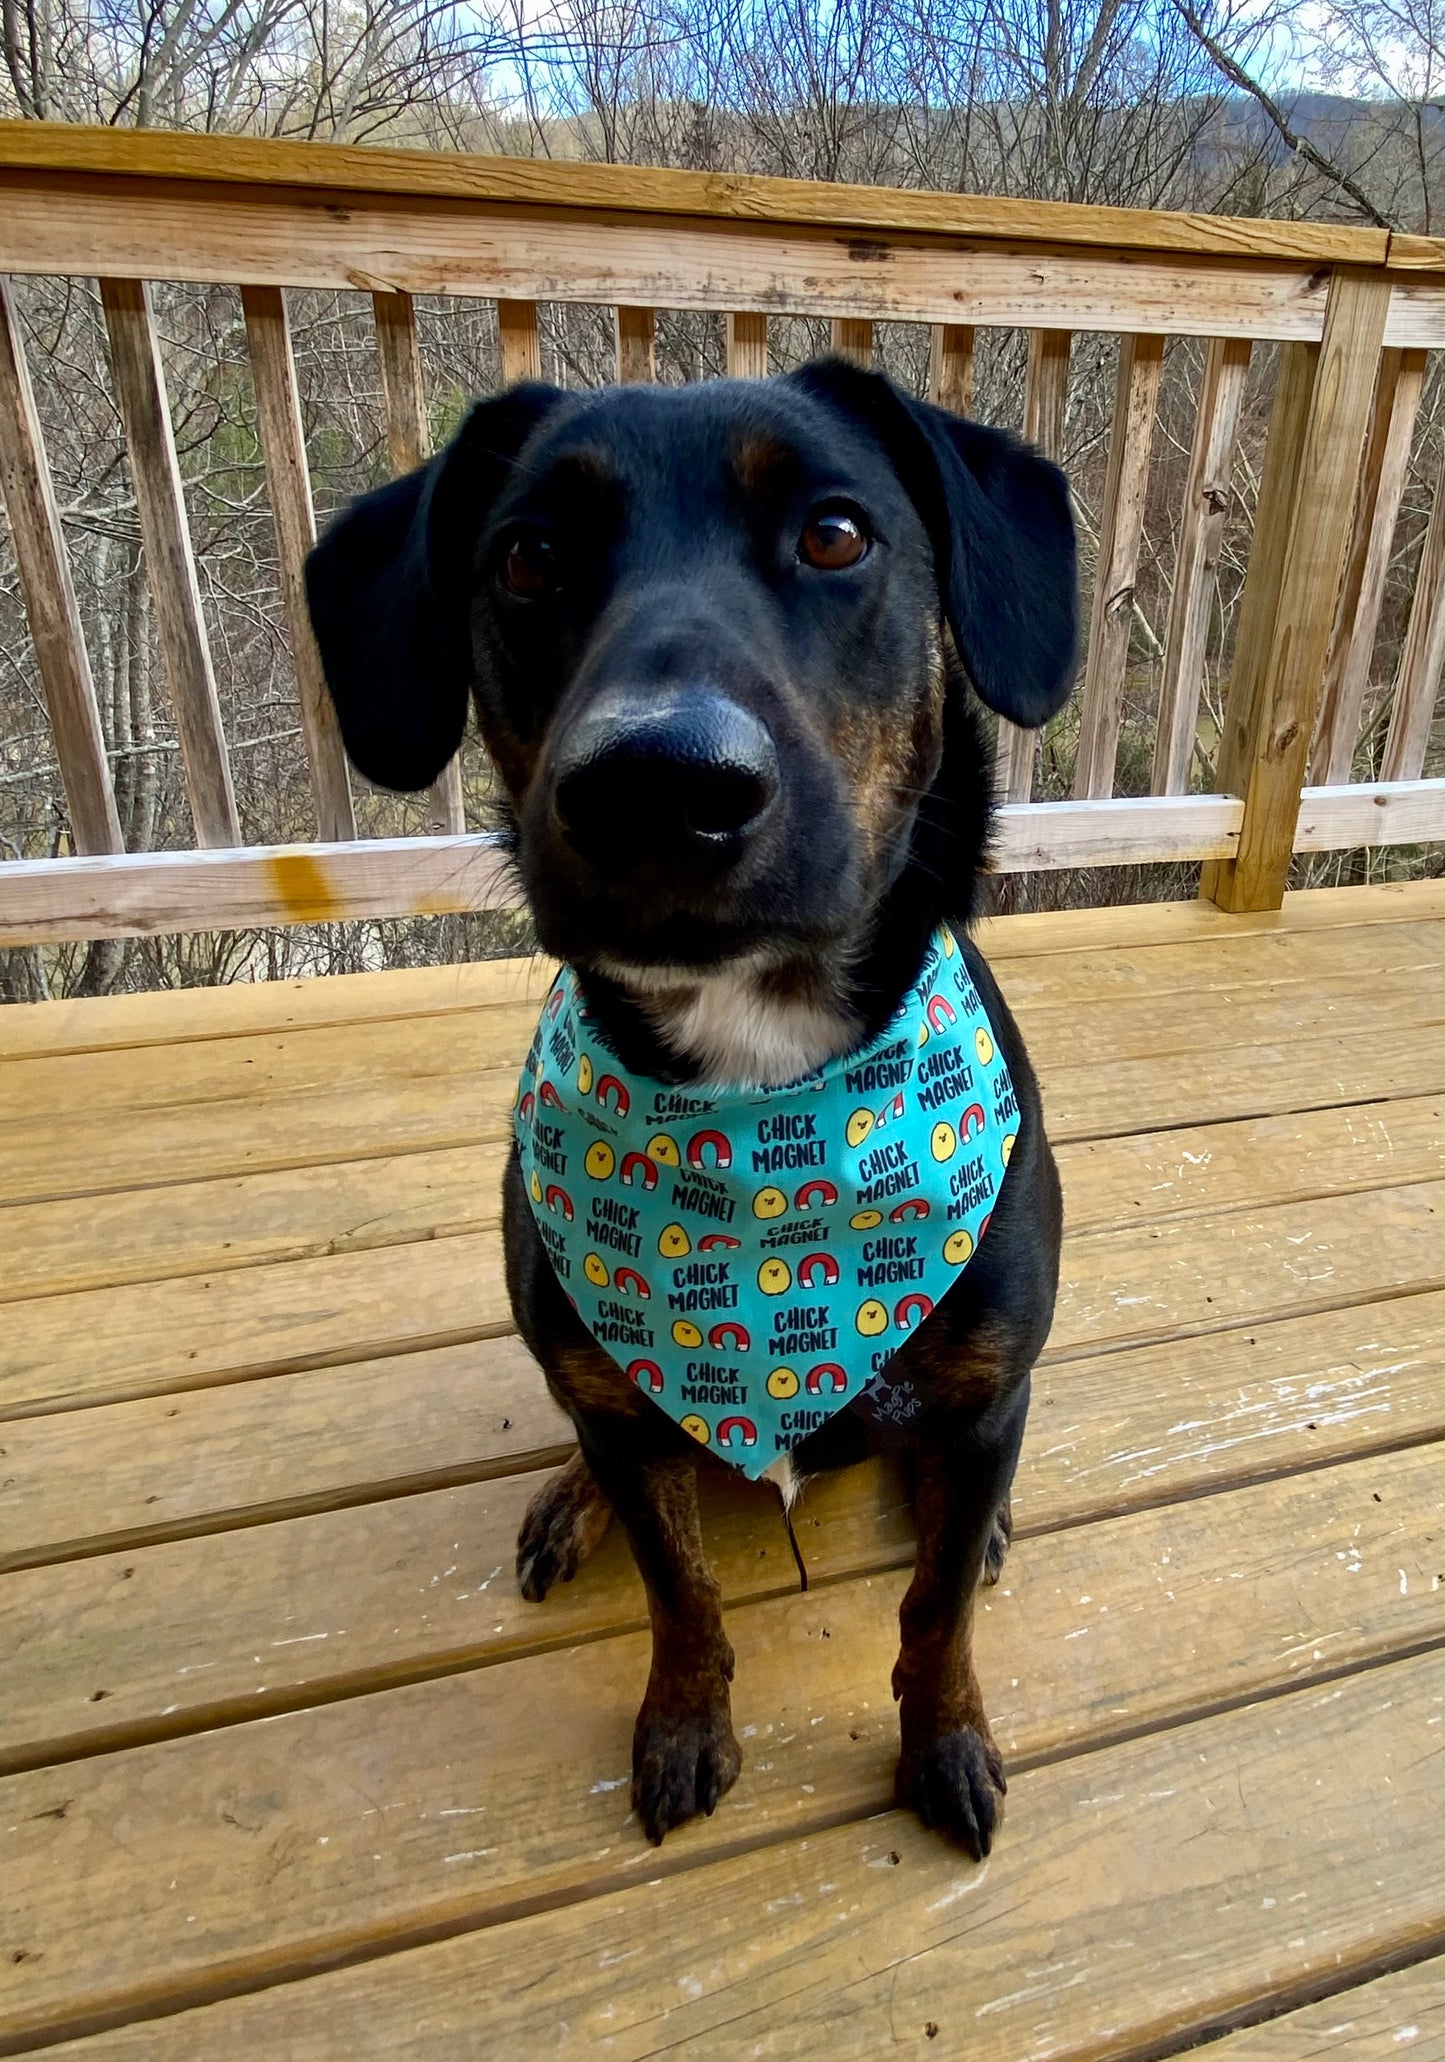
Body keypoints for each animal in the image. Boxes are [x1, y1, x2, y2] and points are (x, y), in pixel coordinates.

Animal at [309, 362, 1080, 1864]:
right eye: (528, 557)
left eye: (835, 534)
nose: (657, 783)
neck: (758, 1100)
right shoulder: (620, 1405)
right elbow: (681, 1593)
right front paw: (681, 1725)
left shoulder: (980, 1390)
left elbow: (934, 1611)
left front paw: (943, 1737)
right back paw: (570, 1499)